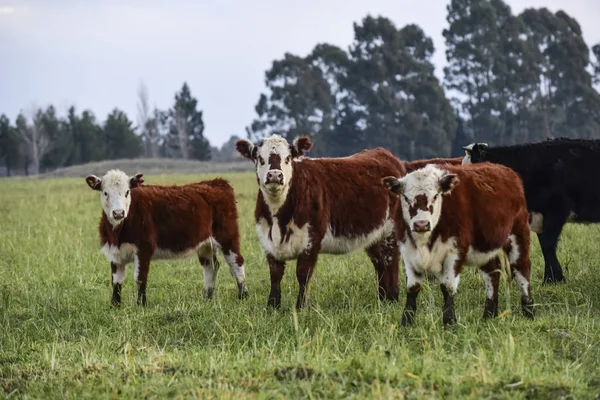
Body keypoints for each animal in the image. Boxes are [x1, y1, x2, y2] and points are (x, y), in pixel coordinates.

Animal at [85, 170, 248, 306]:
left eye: (127, 192)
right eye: (105, 193)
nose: (118, 213)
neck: (118, 231)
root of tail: (216, 182)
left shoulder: (144, 248)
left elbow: (140, 278)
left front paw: (141, 305)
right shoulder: (115, 252)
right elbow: (116, 281)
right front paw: (115, 305)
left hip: (227, 237)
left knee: (236, 262)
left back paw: (243, 295)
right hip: (205, 244)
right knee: (211, 266)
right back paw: (207, 298)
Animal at [233, 134, 404, 310]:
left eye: (288, 158)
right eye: (260, 158)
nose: (275, 175)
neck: (278, 218)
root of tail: (384, 154)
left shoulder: (311, 239)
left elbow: (303, 274)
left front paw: (300, 307)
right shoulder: (268, 241)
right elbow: (275, 274)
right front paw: (272, 306)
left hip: (392, 230)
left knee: (392, 260)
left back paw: (393, 297)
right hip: (375, 234)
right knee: (379, 262)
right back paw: (382, 299)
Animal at [382, 162, 532, 324]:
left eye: (435, 196)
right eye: (406, 197)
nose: (421, 224)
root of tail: (506, 171)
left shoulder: (455, 252)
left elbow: (447, 287)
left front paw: (449, 321)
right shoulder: (408, 252)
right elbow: (412, 287)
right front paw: (406, 321)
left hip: (518, 233)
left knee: (521, 268)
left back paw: (528, 310)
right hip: (484, 247)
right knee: (492, 272)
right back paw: (489, 314)